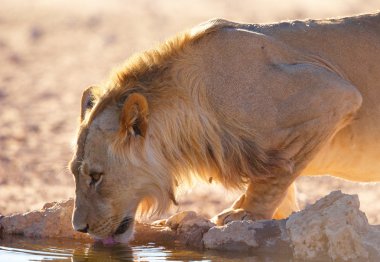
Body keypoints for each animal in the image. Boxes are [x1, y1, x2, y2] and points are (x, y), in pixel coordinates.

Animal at [70, 11, 380, 242]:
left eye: (96, 176)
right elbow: (280, 184)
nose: (79, 229)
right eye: (74, 172)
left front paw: (244, 215)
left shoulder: (334, 95)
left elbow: (274, 176)